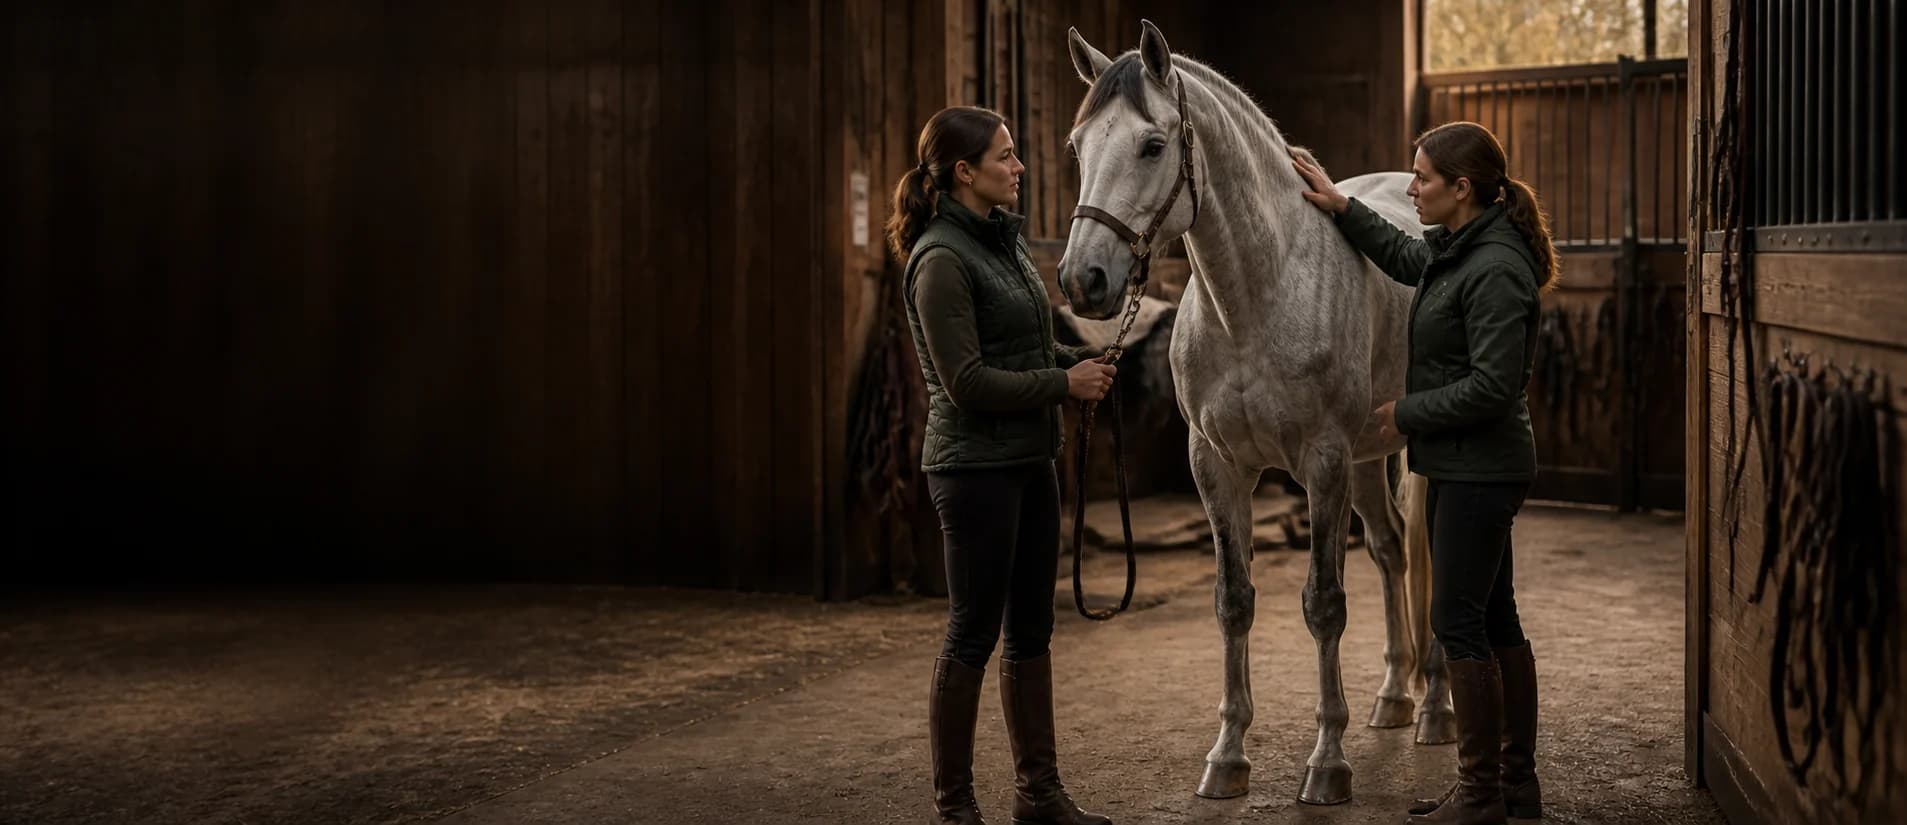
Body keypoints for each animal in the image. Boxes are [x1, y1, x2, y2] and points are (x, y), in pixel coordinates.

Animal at [1057, 22, 1452, 805]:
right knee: (1392, 549)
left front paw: (1327, 764)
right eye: (1078, 147)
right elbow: (1233, 600)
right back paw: (1396, 696)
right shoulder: (1216, 465)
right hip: (1368, 456)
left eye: (1152, 145)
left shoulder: (1322, 463)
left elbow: (1323, 604)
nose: (1083, 281)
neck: (1256, 299)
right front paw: (1227, 757)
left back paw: (1436, 711)